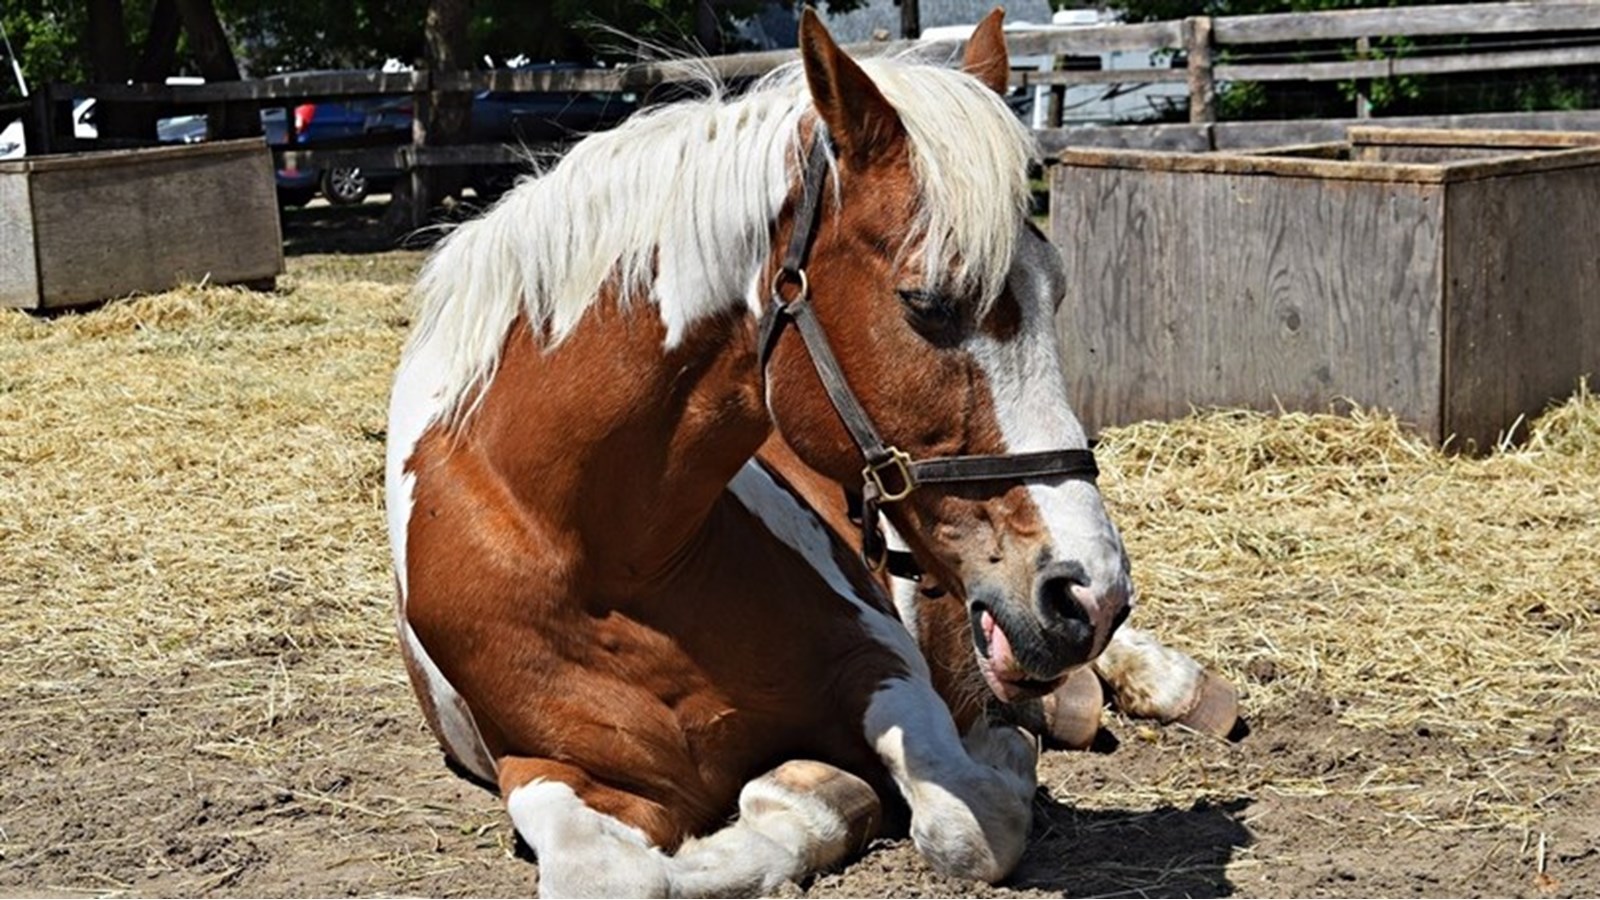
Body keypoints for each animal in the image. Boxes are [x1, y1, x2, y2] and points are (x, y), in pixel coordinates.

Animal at [388, 10, 1138, 895]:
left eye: (1057, 290)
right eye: (926, 302)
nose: (1089, 593)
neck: (612, 554)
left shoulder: (879, 659)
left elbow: (971, 824)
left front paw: (988, 752)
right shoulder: (547, 769)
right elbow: (624, 873)